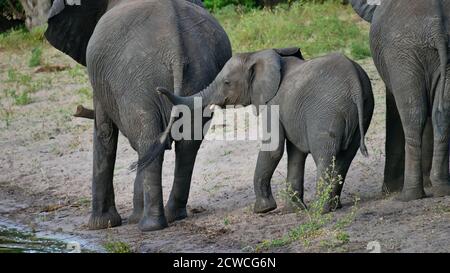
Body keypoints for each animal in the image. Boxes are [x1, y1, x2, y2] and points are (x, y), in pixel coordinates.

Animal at [44, 0, 232, 231]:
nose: (78, 110)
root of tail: (176, 51)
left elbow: (105, 132)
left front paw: (100, 225)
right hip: (200, 77)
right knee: (185, 145)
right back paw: (171, 216)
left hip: (136, 83)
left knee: (148, 141)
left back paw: (150, 226)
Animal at [156, 48, 374, 212]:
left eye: (226, 83)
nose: (158, 90)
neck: (259, 55)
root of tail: (355, 82)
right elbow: (296, 152)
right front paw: (294, 209)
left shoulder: (273, 104)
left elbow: (274, 149)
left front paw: (263, 210)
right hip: (362, 111)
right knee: (345, 158)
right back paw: (334, 207)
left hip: (327, 112)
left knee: (325, 156)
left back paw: (320, 210)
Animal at [352, 0, 450, 200]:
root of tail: (437, 29)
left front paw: (390, 190)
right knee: (440, 115)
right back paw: (442, 189)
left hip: (404, 56)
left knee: (413, 116)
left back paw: (408, 195)